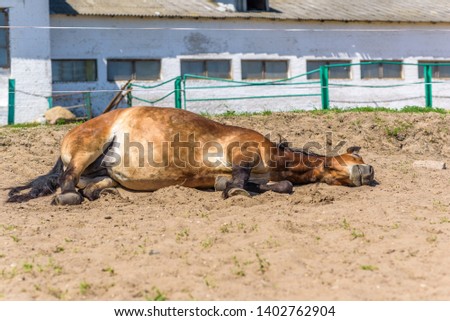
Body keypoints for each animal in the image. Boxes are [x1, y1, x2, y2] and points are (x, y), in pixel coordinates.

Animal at [7, 106, 374, 204]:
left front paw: (230, 188)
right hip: (88, 147)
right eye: (356, 159)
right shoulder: (242, 149)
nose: (368, 172)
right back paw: (70, 196)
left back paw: (99, 194)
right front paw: (236, 191)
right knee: (66, 182)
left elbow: (278, 186)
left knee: (94, 185)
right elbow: (242, 176)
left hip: (103, 173)